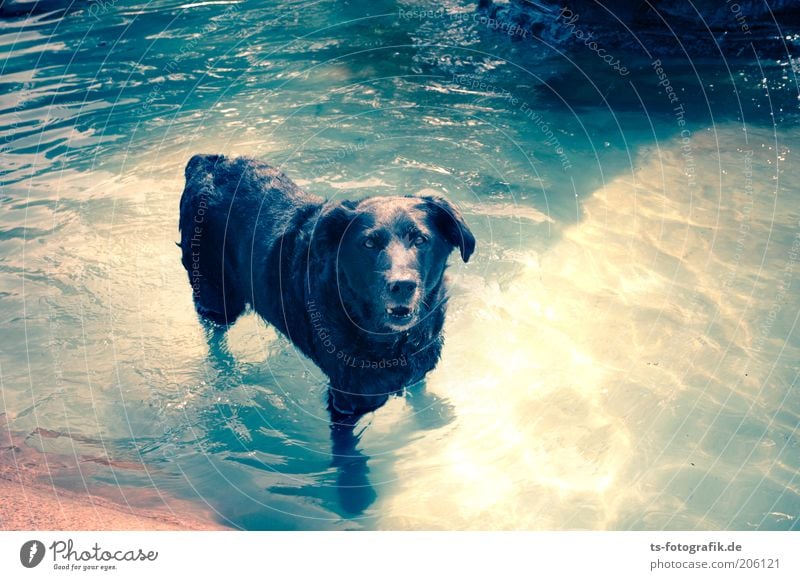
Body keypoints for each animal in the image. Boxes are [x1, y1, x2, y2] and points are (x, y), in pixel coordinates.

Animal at [178, 153, 472, 416]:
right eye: (368, 243)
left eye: (421, 240)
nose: (402, 285)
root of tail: (207, 161)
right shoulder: (347, 401)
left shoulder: (419, 373)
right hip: (216, 296)